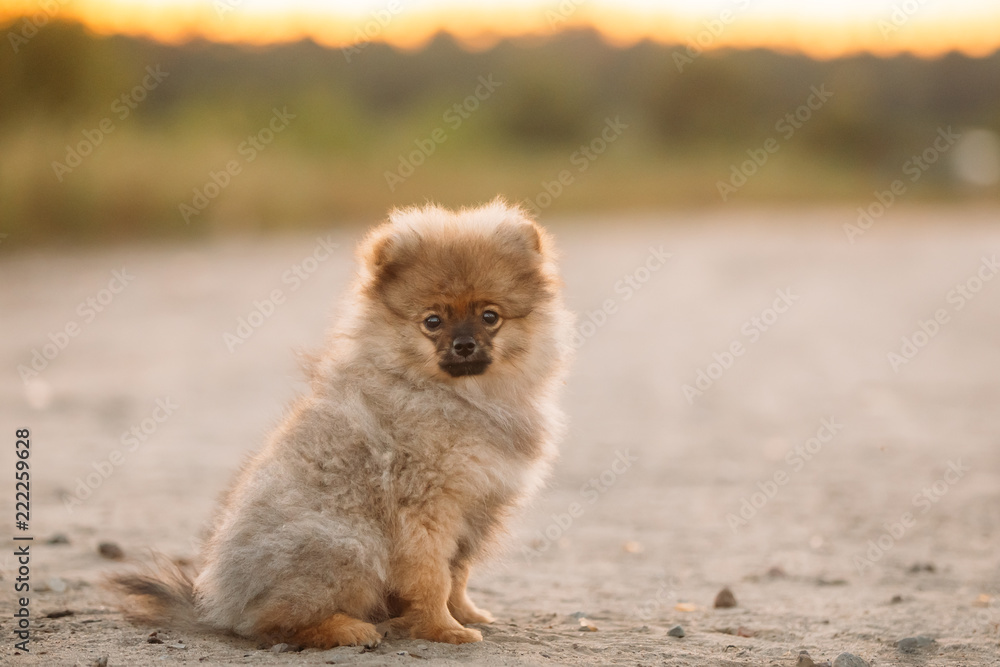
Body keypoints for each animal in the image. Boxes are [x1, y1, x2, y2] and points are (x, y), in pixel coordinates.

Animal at [110, 198, 576, 648]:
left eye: (489, 316)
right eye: (433, 321)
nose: (463, 345)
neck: (461, 396)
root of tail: (218, 605)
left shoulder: (475, 509)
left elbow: (457, 574)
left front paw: (465, 614)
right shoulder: (426, 509)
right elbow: (433, 578)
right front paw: (443, 629)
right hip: (350, 542)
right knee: (270, 623)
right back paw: (347, 629)